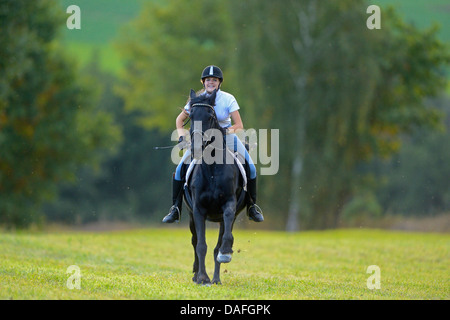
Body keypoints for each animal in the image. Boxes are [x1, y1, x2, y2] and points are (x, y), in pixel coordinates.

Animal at [182, 89, 246, 284]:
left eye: (210, 116)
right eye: (191, 115)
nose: (195, 147)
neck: (212, 168)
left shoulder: (229, 205)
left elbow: (221, 243)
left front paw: (225, 254)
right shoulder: (198, 209)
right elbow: (201, 245)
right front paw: (202, 277)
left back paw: (216, 278)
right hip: (190, 216)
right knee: (195, 242)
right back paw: (197, 274)